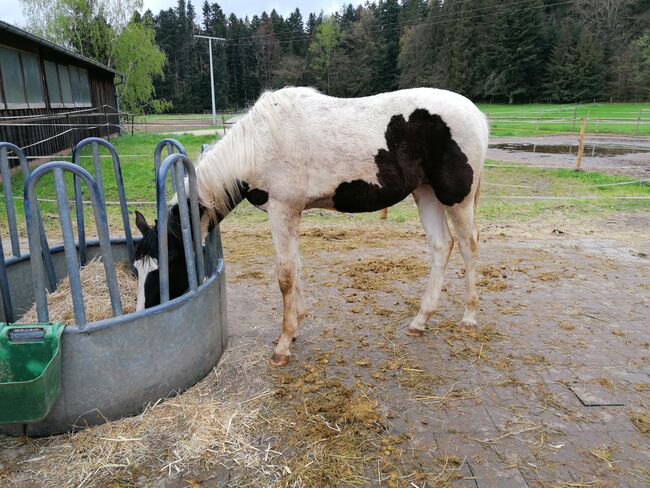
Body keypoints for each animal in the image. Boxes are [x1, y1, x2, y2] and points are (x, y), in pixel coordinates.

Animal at [133, 86, 486, 364]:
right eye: (137, 268)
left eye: (167, 266)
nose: (147, 311)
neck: (257, 144)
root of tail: (478, 115)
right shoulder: (291, 214)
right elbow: (296, 267)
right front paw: (297, 325)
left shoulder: (282, 210)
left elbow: (285, 275)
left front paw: (283, 345)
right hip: (425, 193)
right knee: (442, 246)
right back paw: (420, 321)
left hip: (456, 199)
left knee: (468, 247)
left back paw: (469, 318)